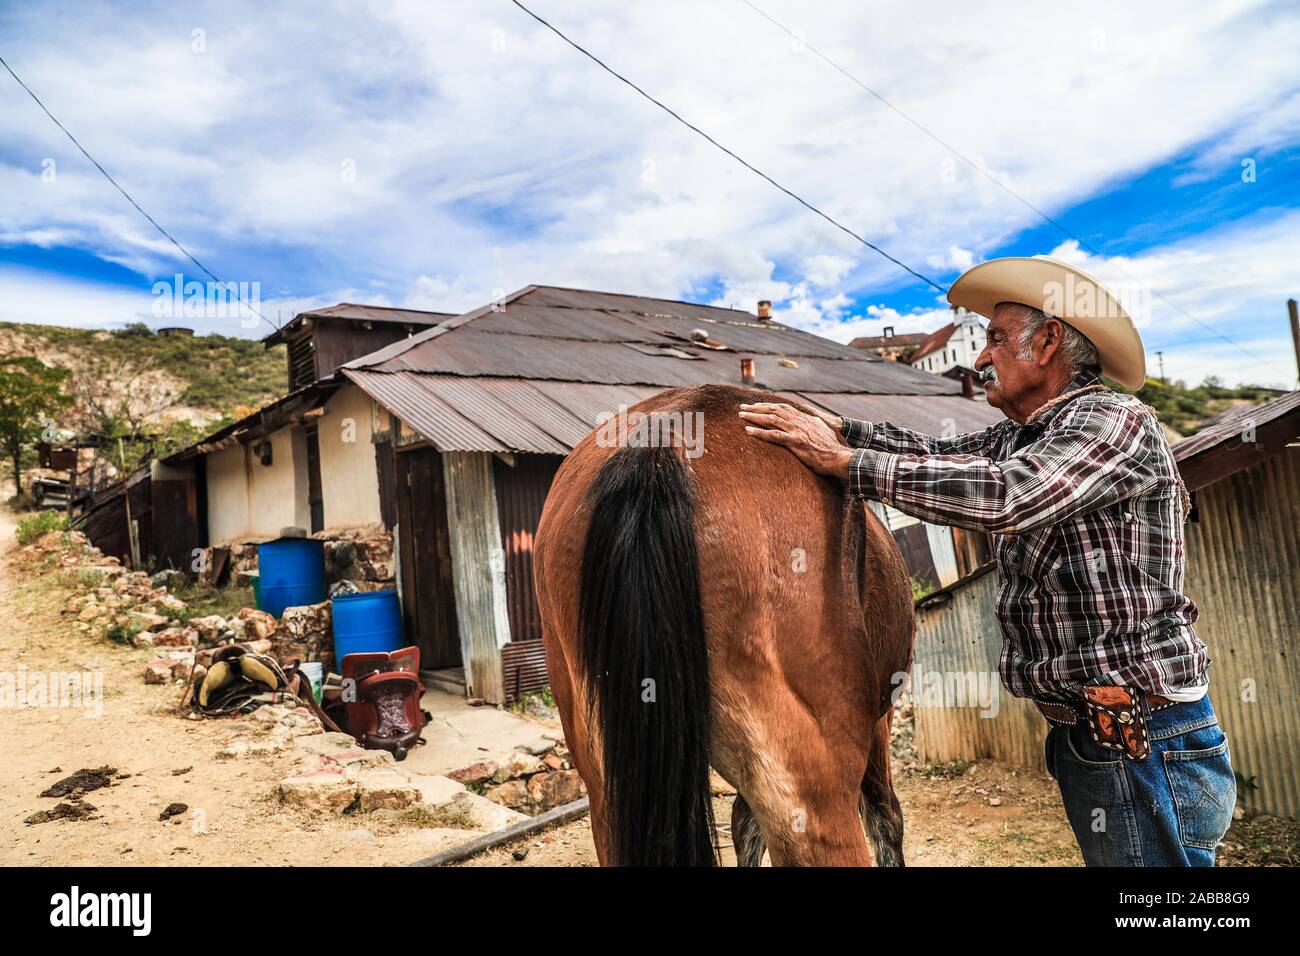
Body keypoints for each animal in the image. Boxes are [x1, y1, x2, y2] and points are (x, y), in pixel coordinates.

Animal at [530, 382, 915, 868]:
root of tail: (657, 446)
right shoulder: (879, 720)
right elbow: (886, 816)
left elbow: (743, 823)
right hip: (812, 782)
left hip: (603, 772)